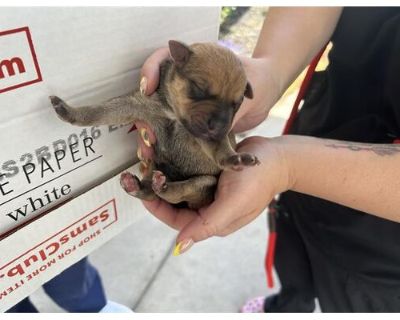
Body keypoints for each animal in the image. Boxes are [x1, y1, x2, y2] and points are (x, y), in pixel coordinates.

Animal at [49, 40, 260, 209]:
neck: (172, 112)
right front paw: (69, 112)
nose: (219, 127)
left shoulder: (205, 135)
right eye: (199, 89)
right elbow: (101, 111)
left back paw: (163, 186)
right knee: (150, 192)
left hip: (204, 184)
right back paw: (136, 186)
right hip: (155, 165)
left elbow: (220, 149)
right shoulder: (137, 105)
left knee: (177, 192)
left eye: (238, 103)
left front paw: (235, 158)